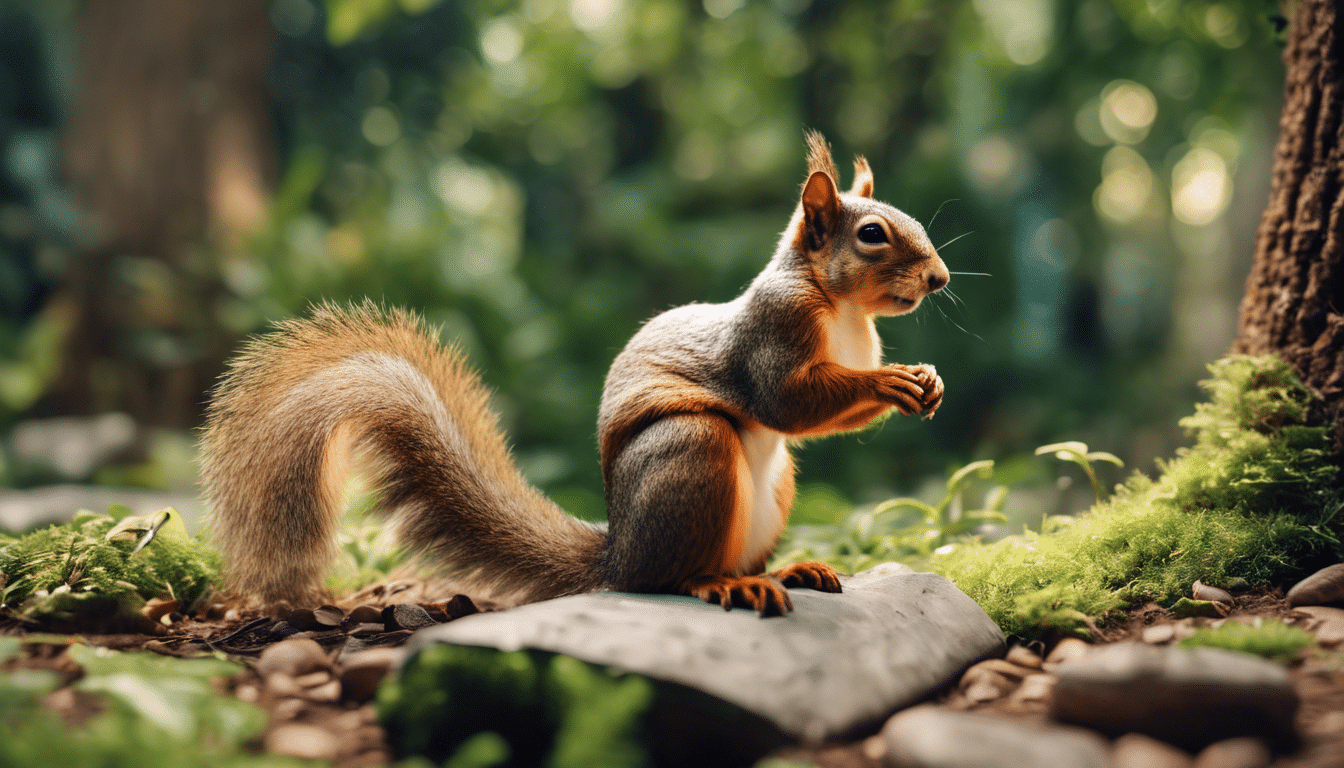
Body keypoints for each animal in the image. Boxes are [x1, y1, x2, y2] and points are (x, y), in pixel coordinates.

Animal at [204, 133, 951, 618]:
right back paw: (719, 585)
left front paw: (927, 381)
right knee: (666, 579)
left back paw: (789, 571)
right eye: (873, 236)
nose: (940, 279)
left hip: (775, 490)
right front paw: (891, 382)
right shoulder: (775, 328)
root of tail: (617, 553)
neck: (843, 309)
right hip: (691, 450)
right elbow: (787, 401)